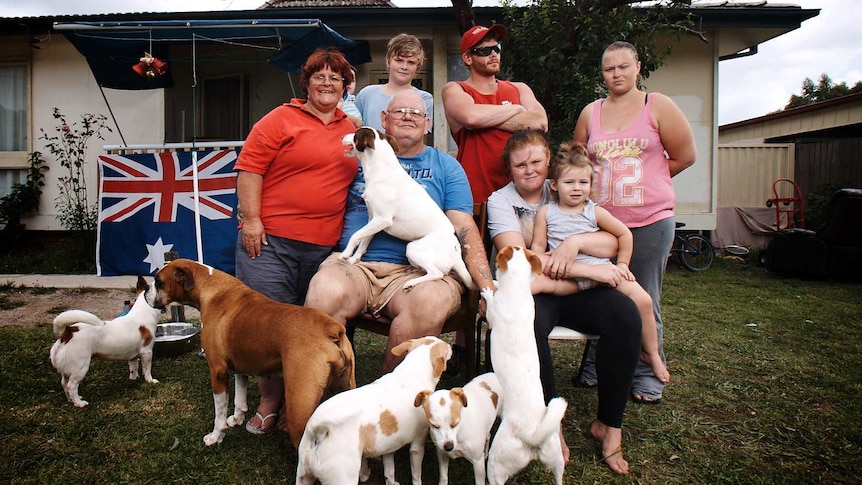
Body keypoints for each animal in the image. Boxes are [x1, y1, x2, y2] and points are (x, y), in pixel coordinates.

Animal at [50, 274, 164, 406]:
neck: (143, 312)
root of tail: (67, 333)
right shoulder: (147, 353)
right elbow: (147, 369)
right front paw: (150, 380)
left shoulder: (133, 357)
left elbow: (133, 367)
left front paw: (134, 378)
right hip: (80, 367)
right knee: (71, 386)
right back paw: (79, 403)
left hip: (67, 369)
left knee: (64, 383)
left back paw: (71, 400)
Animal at [155, 258, 354, 446]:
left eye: (158, 282)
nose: (148, 291)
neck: (210, 288)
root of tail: (330, 327)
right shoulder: (239, 366)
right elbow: (239, 398)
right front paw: (237, 419)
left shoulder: (218, 372)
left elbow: (220, 412)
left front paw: (216, 436)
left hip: (299, 410)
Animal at [296, 336, 452, 484]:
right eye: (445, 347)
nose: (451, 346)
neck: (410, 375)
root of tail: (318, 429)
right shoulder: (418, 445)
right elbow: (416, 475)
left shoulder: (389, 446)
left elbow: (389, 471)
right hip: (344, 478)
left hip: (303, 476)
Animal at [340, 126, 476, 290]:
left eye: (355, 134)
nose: (342, 136)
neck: (380, 171)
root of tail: (456, 253)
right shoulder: (373, 219)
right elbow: (363, 241)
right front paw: (354, 258)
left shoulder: (382, 219)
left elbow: (355, 236)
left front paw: (345, 253)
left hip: (413, 248)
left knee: (436, 273)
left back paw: (411, 282)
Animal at [482, 246, 572, 484]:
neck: (517, 292)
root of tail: (531, 437)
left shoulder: (492, 315)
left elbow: (491, 302)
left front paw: (489, 289)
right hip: (556, 457)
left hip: (495, 465)